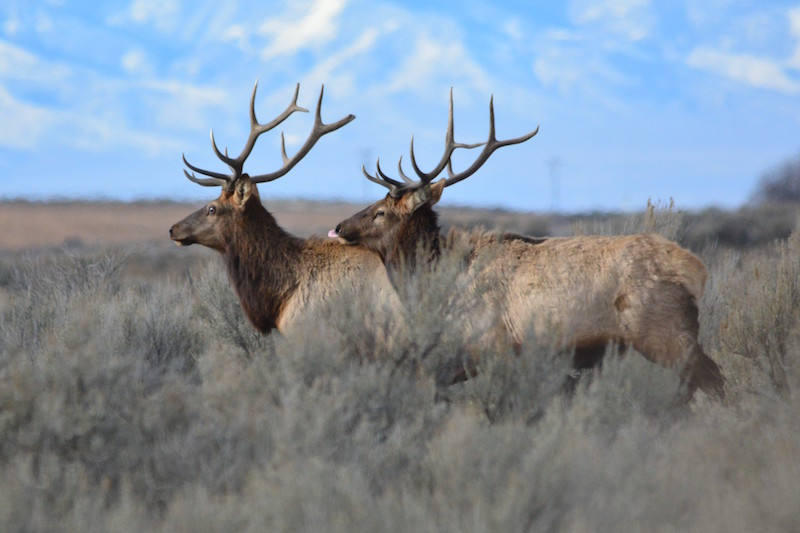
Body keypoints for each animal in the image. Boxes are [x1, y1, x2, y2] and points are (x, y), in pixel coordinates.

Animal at [330, 90, 725, 398]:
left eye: (380, 212)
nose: (338, 226)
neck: (435, 282)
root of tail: (697, 270)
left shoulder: (489, 348)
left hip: (666, 333)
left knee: (714, 382)